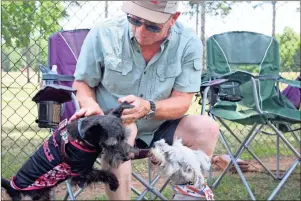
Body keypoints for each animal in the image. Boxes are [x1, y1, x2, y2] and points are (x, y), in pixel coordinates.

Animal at [0, 103, 136, 200]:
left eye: (124, 137)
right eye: (111, 145)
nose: (127, 157)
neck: (81, 138)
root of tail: (12, 188)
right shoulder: (79, 173)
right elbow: (103, 173)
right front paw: (114, 182)